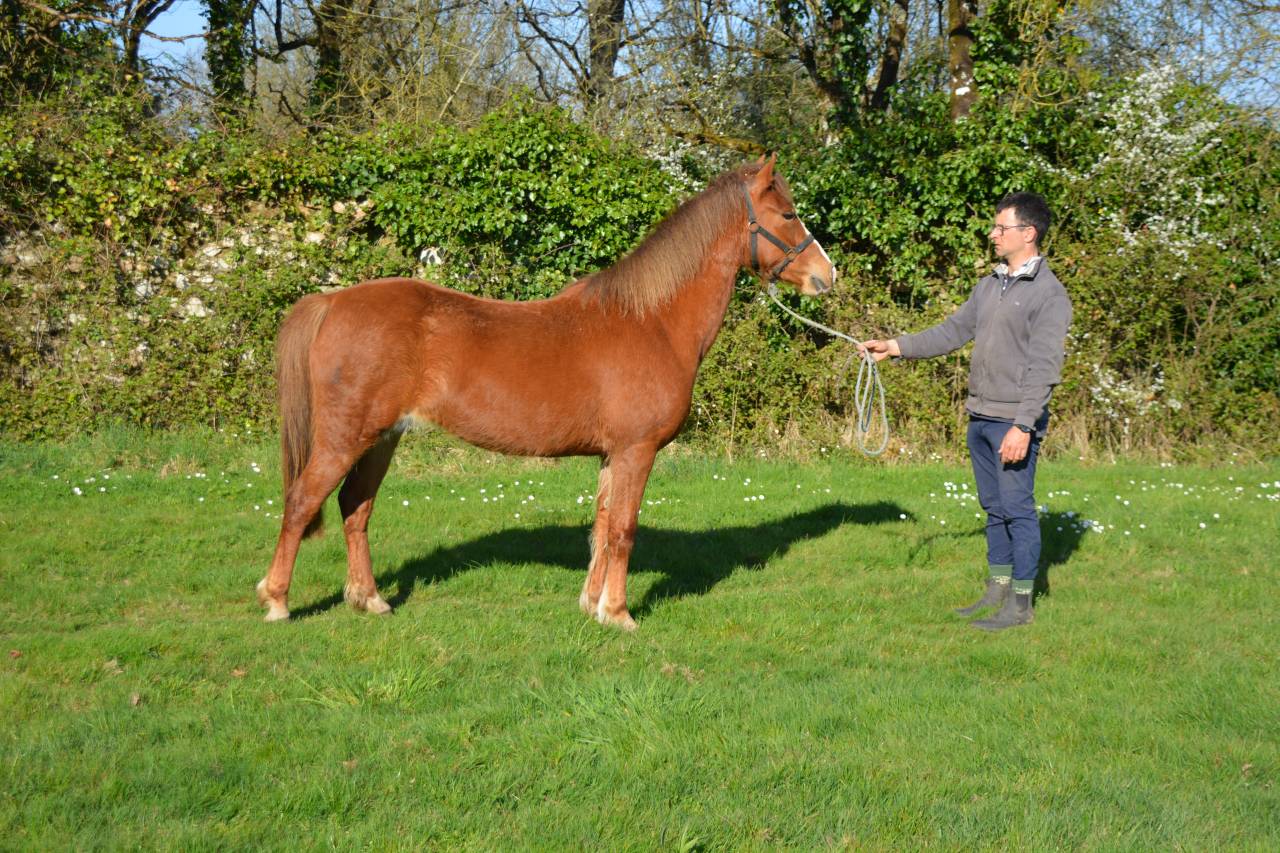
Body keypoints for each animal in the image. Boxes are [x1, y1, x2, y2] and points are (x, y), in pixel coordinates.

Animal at [256, 154, 836, 630]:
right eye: (788, 214)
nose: (827, 275)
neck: (653, 321)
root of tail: (332, 302)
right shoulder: (637, 450)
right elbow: (624, 529)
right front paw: (620, 613)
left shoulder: (613, 455)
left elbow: (602, 526)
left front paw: (592, 605)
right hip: (345, 438)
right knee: (303, 502)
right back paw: (277, 601)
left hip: (381, 438)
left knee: (355, 507)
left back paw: (369, 599)